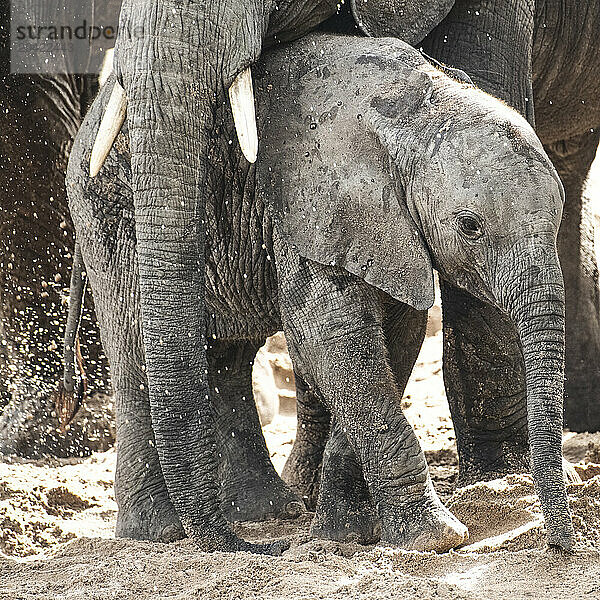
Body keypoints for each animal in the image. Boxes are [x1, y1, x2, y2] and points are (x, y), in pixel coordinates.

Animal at [65, 32, 572, 552]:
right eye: (470, 226)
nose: (559, 544)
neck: (419, 112)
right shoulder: (306, 203)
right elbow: (332, 337)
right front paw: (434, 537)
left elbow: (392, 339)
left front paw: (344, 532)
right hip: (106, 217)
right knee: (135, 356)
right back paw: (158, 531)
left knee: (228, 358)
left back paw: (266, 512)